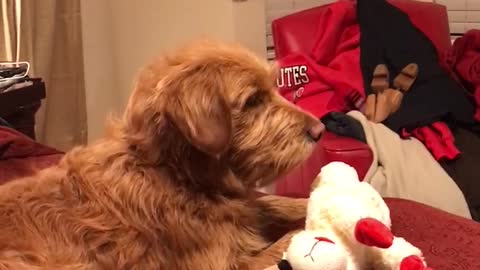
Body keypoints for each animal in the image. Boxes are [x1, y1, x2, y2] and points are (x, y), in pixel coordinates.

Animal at [0, 40, 324, 270]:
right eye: (253, 101)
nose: (320, 130)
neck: (173, 172)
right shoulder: (224, 264)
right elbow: (291, 238)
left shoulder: (245, 208)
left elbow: (275, 202)